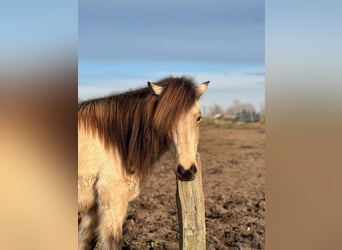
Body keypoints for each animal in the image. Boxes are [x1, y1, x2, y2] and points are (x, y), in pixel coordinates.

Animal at [79, 77, 210, 249]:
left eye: (198, 117)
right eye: (165, 119)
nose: (186, 171)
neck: (115, 142)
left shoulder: (92, 208)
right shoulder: (112, 199)